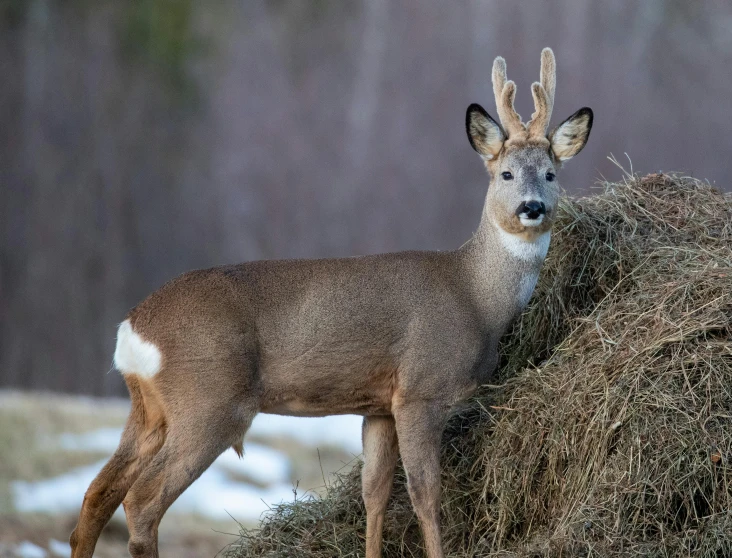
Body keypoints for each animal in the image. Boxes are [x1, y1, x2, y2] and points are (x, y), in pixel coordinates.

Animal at [70, 49, 596, 558]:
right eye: (506, 173)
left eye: (550, 174)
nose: (532, 207)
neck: (474, 296)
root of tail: (133, 328)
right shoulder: (420, 389)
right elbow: (426, 495)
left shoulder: (379, 404)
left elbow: (374, 494)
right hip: (210, 401)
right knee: (141, 501)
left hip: (150, 409)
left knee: (97, 494)